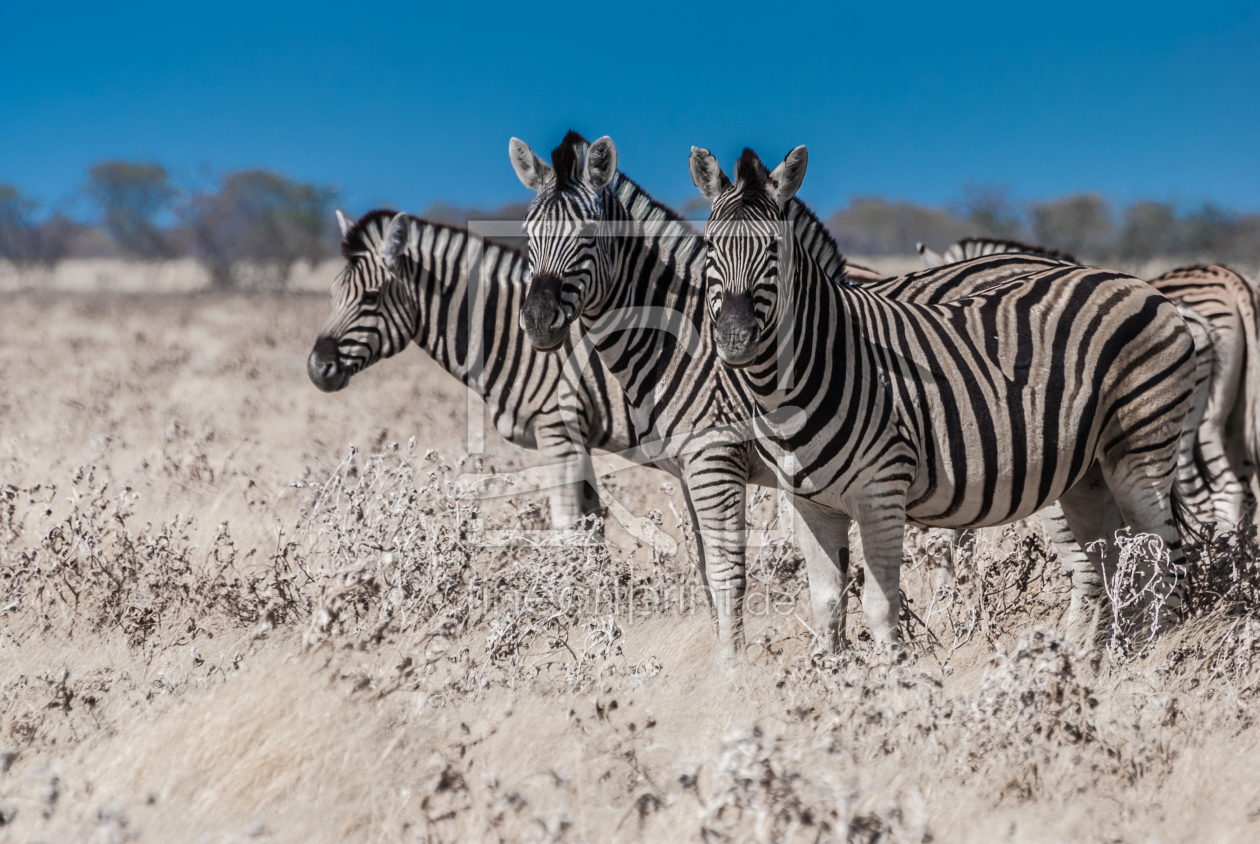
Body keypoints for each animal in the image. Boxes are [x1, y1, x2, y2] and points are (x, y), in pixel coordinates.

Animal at [307, 207, 640, 531]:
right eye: (333, 294)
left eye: (371, 297)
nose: (316, 368)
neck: (510, 336)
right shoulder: (579, 438)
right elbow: (592, 526)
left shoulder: (558, 430)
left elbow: (568, 528)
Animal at [695, 145, 1194, 650]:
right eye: (710, 248)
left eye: (774, 250)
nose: (735, 339)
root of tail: (1136, 282)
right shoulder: (809, 504)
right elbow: (827, 605)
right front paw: (832, 668)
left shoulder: (882, 492)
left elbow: (880, 607)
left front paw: (891, 672)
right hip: (1086, 473)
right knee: (1105, 563)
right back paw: (1088, 656)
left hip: (1141, 452)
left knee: (1163, 561)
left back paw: (1157, 652)